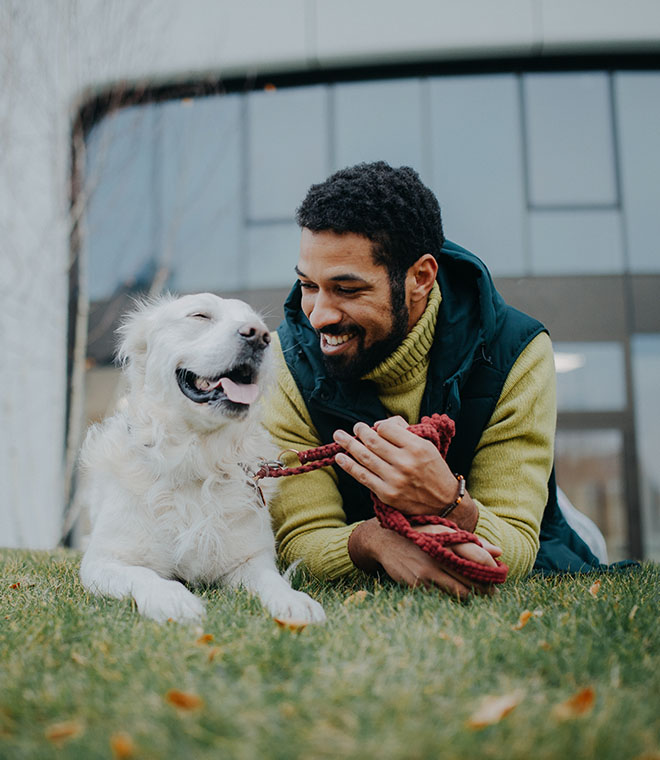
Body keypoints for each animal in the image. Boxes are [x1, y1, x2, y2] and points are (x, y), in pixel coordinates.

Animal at [78, 290, 326, 624]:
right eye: (200, 316)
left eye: (260, 326)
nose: (258, 336)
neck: (197, 459)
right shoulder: (104, 561)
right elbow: (144, 576)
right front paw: (173, 599)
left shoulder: (249, 561)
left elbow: (273, 581)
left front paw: (295, 601)